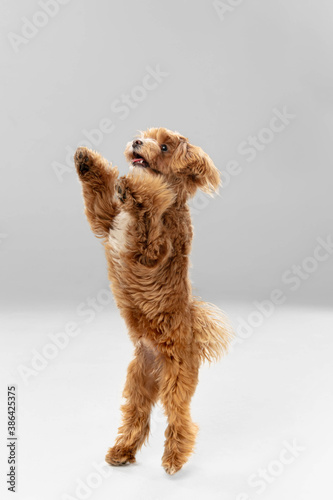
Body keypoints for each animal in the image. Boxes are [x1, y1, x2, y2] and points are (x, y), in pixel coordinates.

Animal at [74, 127, 232, 474]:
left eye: (163, 147)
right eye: (144, 135)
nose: (136, 142)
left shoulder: (153, 251)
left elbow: (148, 222)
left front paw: (139, 191)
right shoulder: (108, 220)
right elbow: (99, 196)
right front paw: (86, 161)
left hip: (177, 379)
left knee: (179, 418)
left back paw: (174, 458)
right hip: (138, 382)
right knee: (137, 416)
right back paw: (122, 451)